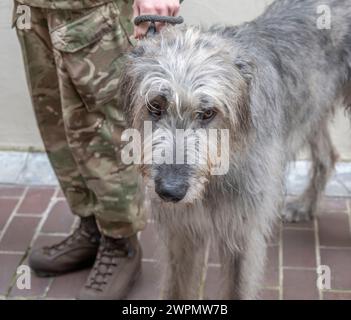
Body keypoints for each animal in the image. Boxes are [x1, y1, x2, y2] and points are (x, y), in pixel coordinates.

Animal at [119, 0, 351, 300]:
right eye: (155, 105)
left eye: (208, 112)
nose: (170, 191)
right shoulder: (180, 232)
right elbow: (176, 288)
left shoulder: (243, 231)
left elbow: (238, 287)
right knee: (326, 154)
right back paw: (305, 205)